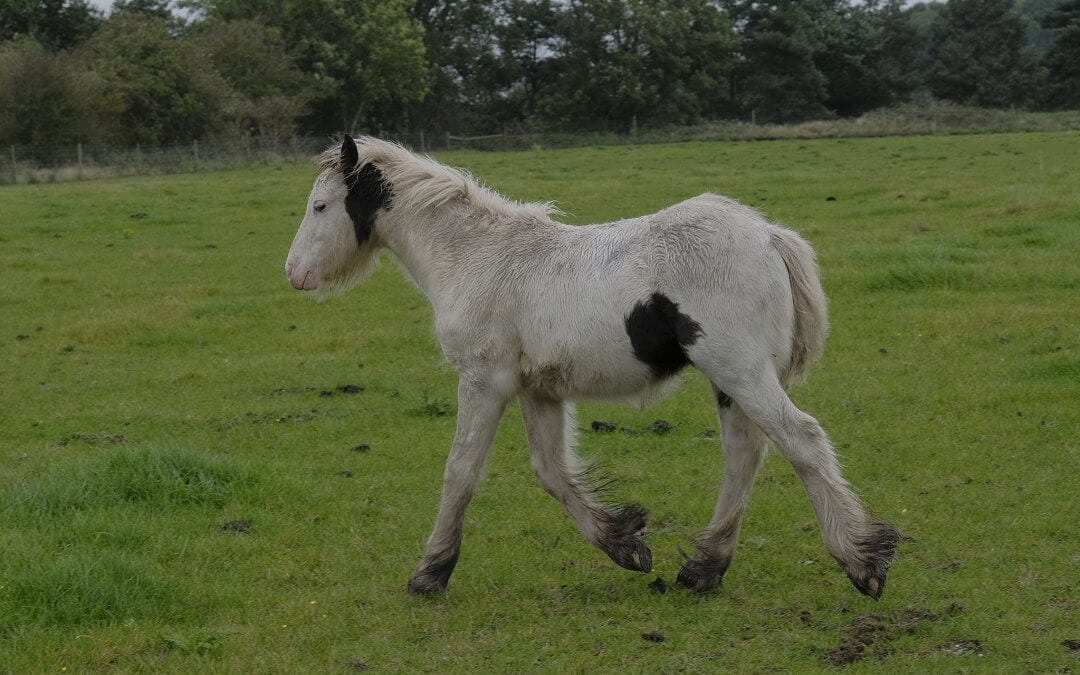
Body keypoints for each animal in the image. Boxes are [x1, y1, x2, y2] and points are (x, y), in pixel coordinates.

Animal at [282, 134, 898, 596]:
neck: (475, 256)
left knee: (802, 439)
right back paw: (703, 569)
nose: (294, 273)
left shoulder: (484, 379)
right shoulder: (538, 389)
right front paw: (625, 544)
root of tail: (770, 235)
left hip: (739, 369)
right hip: (732, 380)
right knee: (745, 453)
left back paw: (861, 563)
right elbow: (552, 472)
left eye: (320, 207)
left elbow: (461, 471)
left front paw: (429, 573)